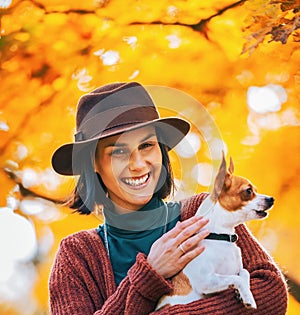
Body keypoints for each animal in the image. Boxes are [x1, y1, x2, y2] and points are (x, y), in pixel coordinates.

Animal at [156, 156, 276, 312]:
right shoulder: (206, 281)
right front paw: (248, 298)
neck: (221, 238)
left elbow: (244, 273)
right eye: (248, 191)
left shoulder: (234, 271)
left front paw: (244, 293)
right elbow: (235, 278)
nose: (271, 199)